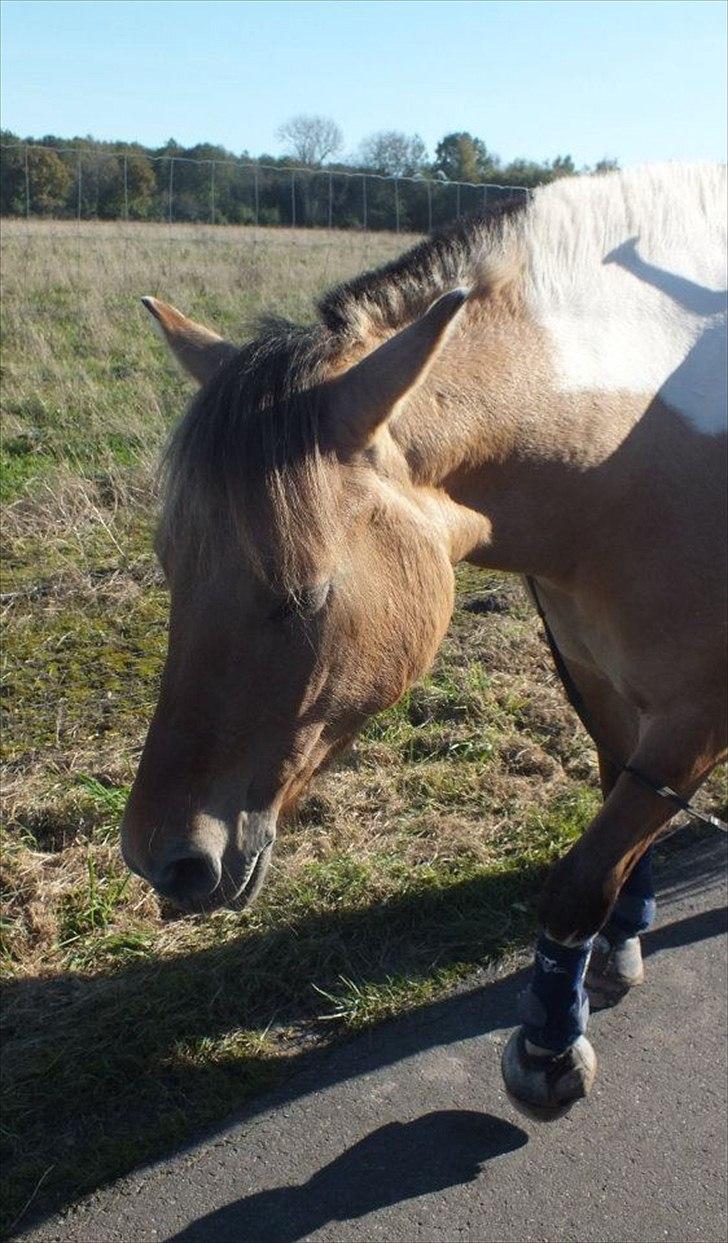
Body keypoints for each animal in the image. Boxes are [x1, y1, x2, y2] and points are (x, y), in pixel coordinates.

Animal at [121, 162, 720, 1118]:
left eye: (306, 593)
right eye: (170, 566)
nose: (159, 860)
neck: (633, 451)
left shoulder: (697, 711)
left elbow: (580, 879)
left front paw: (549, 1046)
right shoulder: (599, 681)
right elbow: (616, 824)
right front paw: (623, 941)